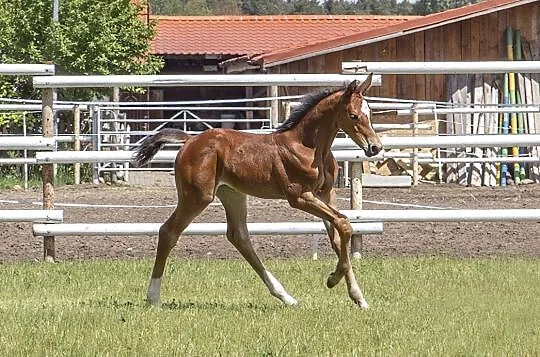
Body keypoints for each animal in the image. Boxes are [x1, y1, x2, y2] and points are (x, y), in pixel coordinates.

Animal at [134, 73, 380, 308]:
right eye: (353, 115)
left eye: (370, 113)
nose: (375, 147)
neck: (309, 146)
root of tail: (189, 140)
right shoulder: (300, 196)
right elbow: (344, 223)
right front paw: (332, 279)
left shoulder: (325, 194)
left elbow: (338, 235)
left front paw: (359, 298)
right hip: (197, 196)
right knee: (168, 231)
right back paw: (153, 297)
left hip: (232, 194)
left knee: (239, 236)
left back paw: (286, 297)